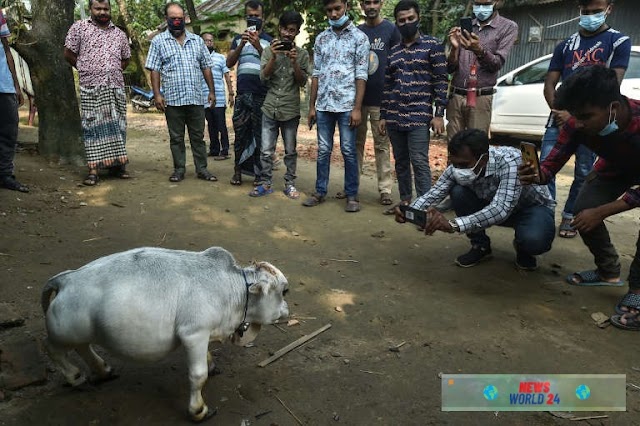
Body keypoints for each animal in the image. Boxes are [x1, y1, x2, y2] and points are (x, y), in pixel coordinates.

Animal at [40, 246, 288, 422]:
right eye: (285, 291)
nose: (287, 310)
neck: (234, 288)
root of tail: (65, 279)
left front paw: (211, 363)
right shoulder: (194, 333)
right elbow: (197, 375)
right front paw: (198, 410)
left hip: (81, 333)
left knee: (83, 347)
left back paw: (103, 370)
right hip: (63, 334)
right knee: (51, 349)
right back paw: (74, 375)